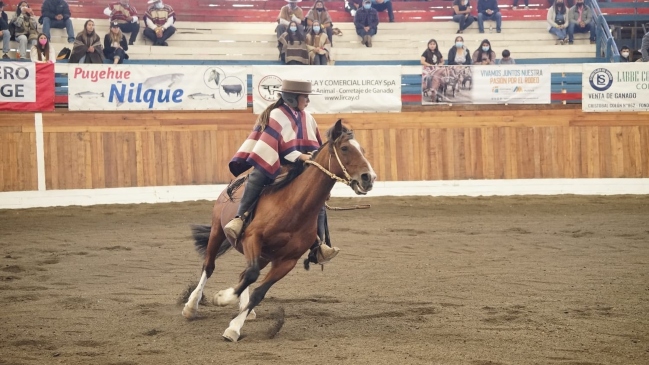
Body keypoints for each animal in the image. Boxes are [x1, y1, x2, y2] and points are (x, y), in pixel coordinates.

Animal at [182, 120, 374, 342]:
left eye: (363, 150)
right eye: (344, 148)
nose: (369, 178)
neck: (293, 205)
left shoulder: (287, 261)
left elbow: (258, 290)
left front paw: (234, 326)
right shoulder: (252, 238)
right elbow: (251, 275)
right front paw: (223, 298)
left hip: (264, 255)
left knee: (243, 273)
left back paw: (244, 308)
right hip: (217, 231)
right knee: (209, 266)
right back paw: (191, 306)